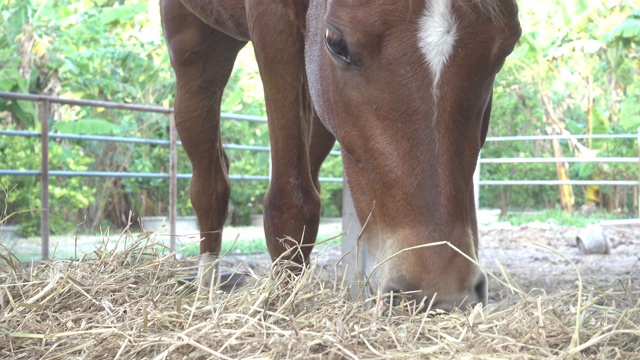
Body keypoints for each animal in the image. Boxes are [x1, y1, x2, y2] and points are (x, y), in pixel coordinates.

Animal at [160, 0, 520, 310]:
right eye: (336, 43)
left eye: (506, 49)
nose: (439, 290)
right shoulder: (273, 20)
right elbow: (289, 203)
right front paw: (283, 306)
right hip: (197, 51)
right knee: (210, 186)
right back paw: (205, 290)